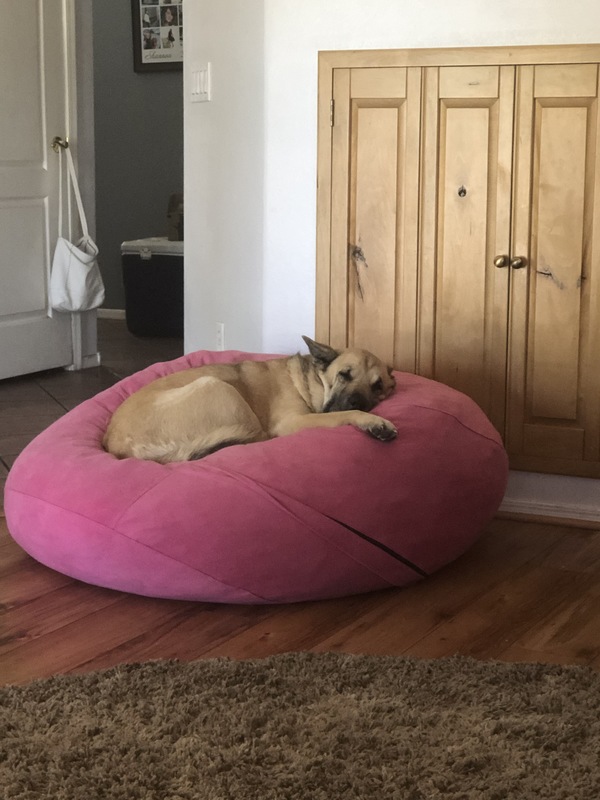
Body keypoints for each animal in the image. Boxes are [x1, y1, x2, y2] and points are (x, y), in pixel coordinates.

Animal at [102, 336, 398, 462]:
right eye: (344, 375)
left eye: (378, 386)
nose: (358, 401)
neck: (311, 382)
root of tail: (117, 445)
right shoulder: (294, 422)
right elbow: (343, 415)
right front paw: (375, 421)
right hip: (218, 386)